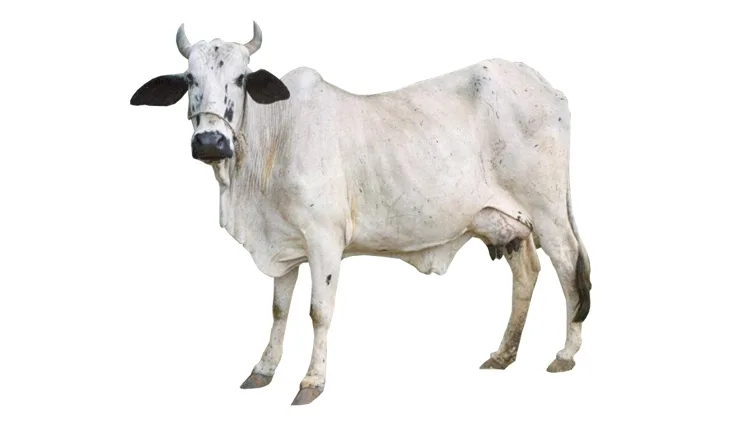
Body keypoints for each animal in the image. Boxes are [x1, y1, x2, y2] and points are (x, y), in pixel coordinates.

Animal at [129, 22, 592, 406]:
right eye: (190, 78)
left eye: (240, 78)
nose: (210, 142)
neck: (271, 141)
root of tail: (547, 87)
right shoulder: (283, 246)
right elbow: (279, 310)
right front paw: (263, 369)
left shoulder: (324, 240)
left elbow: (319, 311)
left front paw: (312, 382)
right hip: (506, 222)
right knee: (527, 272)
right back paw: (503, 354)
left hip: (549, 212)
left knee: (569, 269)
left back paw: (566, 354)